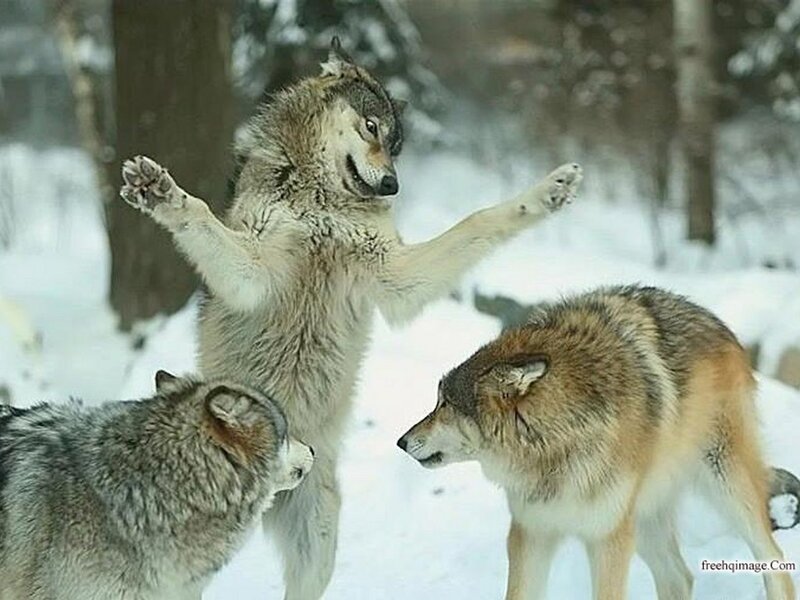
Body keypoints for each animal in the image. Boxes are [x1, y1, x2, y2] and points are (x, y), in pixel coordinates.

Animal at [119, 37, 582, 599]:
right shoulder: (252, 275)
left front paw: (550, 192)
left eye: (396, 145)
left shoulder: (397, 278)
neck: (324, 203)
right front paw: (161, 193)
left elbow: (479, 220)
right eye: (371, 127)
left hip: (317, 541)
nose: (392, 186)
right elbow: (202, 215)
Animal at [398, 285, 796, 600]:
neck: (556, 447)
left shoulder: (608, 540)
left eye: (444, 403)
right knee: (680, 577)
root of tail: (717, 323)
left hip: (727, 488)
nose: (401, 441)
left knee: (776, 563)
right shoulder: (531, 534)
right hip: (646, 520)